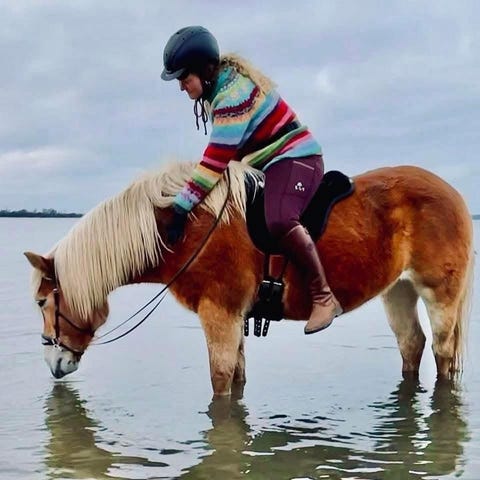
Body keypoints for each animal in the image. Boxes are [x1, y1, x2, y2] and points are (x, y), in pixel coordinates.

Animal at [25, 161, 474, 396]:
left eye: (43, 302)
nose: (53, 362)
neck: (184, 229)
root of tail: (454, 194)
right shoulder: (232, 318)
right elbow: (238, 376)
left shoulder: (219, 314)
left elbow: (220, 381)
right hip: (397, 291)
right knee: (411, 345)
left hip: (440, 295)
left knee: (442, 354)